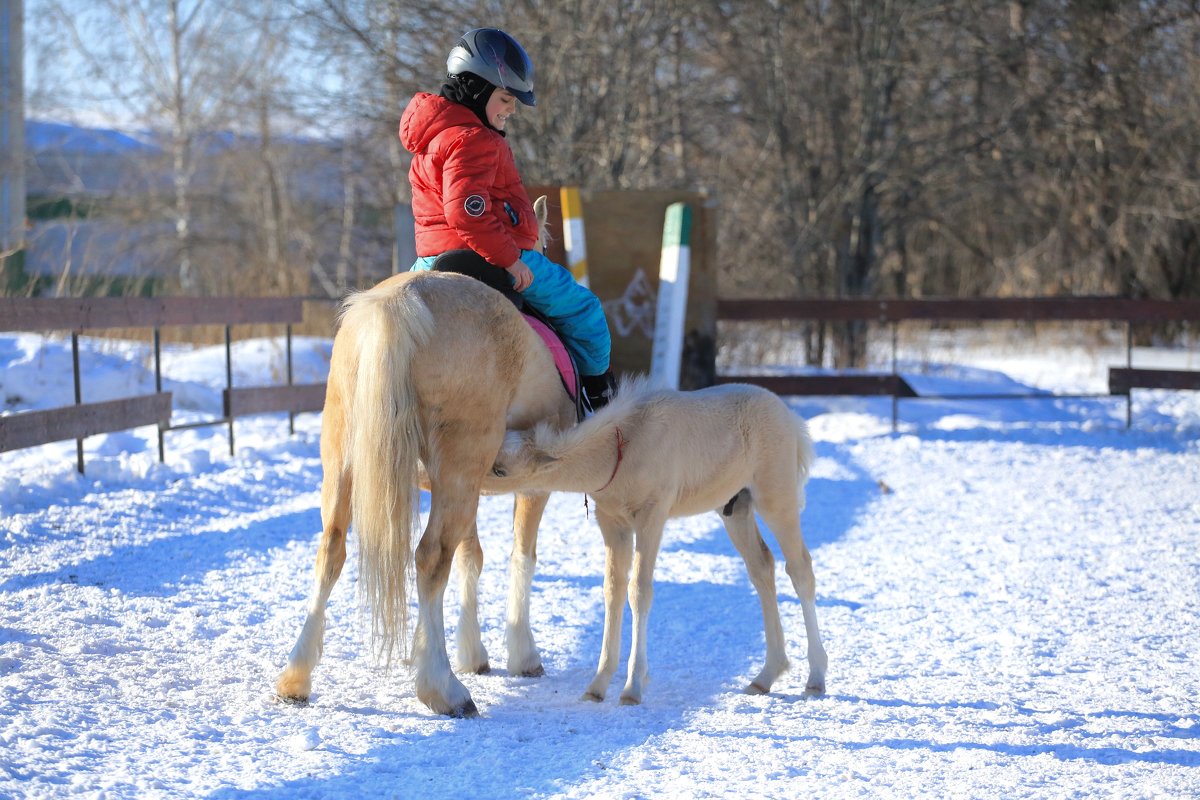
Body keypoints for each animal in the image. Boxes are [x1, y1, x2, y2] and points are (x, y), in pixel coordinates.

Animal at [487, 376, 825, 705]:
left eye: (500, 470)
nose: (476, 480)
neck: (623, 448)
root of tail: (791, 417)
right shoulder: (612, 523)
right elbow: (613, 589)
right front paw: (598, 685)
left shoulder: (652, 517)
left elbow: (639, 590)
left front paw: (632, 687)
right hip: (736, 510)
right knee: (762, 568)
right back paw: (765, 677)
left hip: (776, 500)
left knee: (800, 570)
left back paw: (815, 679)